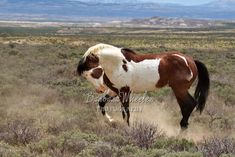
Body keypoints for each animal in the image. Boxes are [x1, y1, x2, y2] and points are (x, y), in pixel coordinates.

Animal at [76, 43, 209, 129]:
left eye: (94, 72)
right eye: (85, 76)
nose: (100, 89)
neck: (117, 64)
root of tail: (191, 61)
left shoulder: (124, 92)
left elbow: (126, 113)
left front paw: (127, 129)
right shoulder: (114, 91)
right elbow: (101, 104)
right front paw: (110, 120)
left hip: (179, 89)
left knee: (190, 104)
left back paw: (182, 129)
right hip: (179, 90)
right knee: (187, 106)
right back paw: (183, 128)